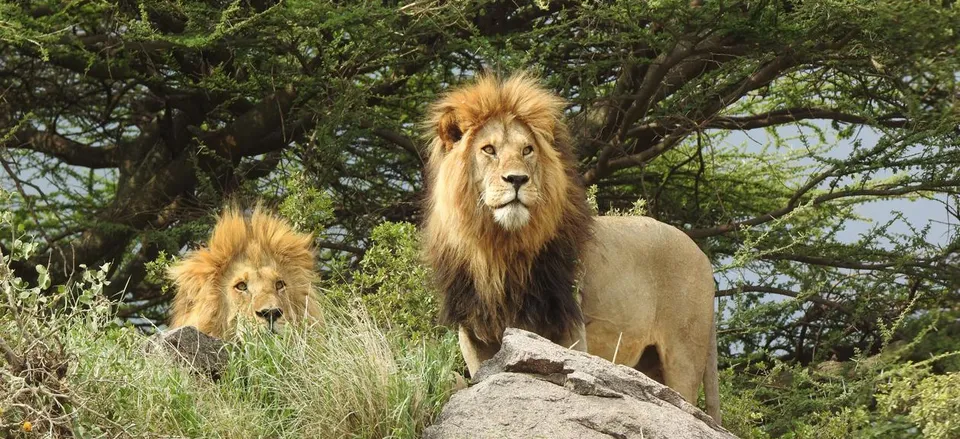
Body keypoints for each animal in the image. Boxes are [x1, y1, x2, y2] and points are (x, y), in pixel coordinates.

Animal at [422, 72, 720, 422]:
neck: (498, 248)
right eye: (488, 149)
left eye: (527, 150)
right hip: (650, 362)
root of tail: (702, 255)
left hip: (683, 354)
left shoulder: (569, 327)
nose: (517, 180)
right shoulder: (473, 333)